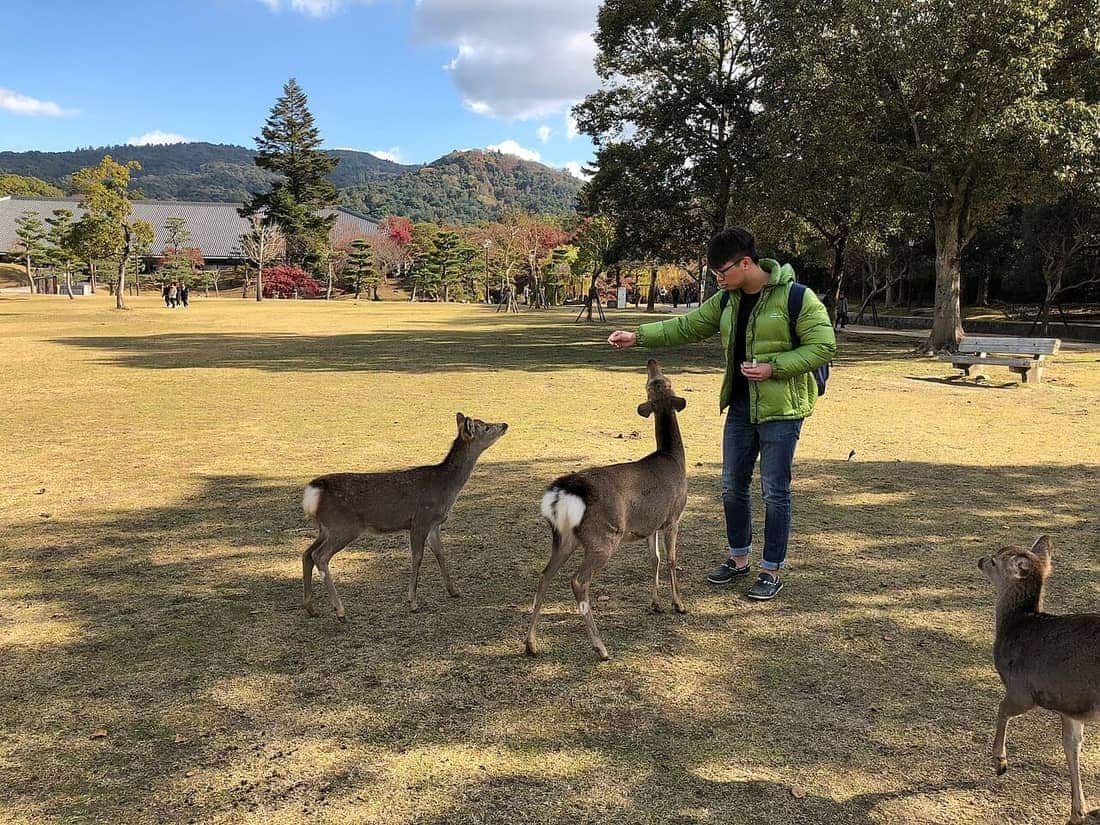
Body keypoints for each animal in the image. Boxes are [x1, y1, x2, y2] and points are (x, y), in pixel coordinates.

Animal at [301, 413, 508, 620]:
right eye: (486, 427)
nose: (505, 424)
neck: (446, 488)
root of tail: (313, 493)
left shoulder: (434, 524)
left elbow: (440, 553)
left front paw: (453, 590)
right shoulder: (421, 519)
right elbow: (417, 557)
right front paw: (413, 602)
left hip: (325, 528)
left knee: (307, 553)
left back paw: (311, 608)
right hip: (344, 526)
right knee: (320, 556)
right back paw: (340, 610)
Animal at [526, 358, 688, 661]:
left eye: (657, 383)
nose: (651, 361)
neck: (673, 459)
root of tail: (563, 491)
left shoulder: (649, 524)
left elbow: (655, 559)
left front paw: (656, 603)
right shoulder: (673, 516)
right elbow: (672, 559)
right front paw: (678, 604)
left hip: (564, 537)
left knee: (544, 574)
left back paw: (530, 644)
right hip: (604, 537)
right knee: (578, 581)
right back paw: (601, 648)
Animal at [978, 536, 1100, 825]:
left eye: (994, 561)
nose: (980, 560)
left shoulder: (1022, 688)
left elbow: (1002, 709)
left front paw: (999, 762)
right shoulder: (1070, 707)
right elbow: (1071, 746)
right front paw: (1077, 811)